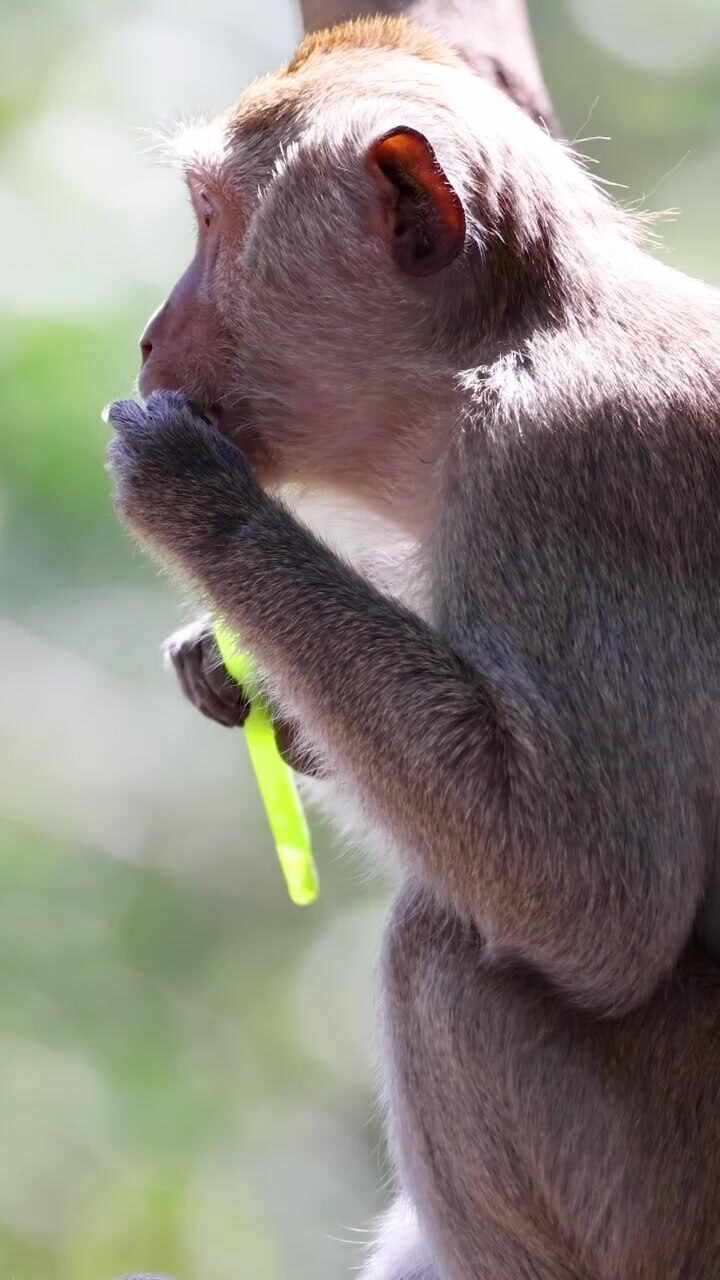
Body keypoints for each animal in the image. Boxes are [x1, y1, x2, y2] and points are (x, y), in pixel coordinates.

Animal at [105, 16, 720, 1279]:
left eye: (211, 220)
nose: (147, 335)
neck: (503, 349)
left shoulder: (564, 476)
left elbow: (592, 897)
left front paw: (206, 512)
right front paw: (243, 664)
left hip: (663, 1193)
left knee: (440, 949)